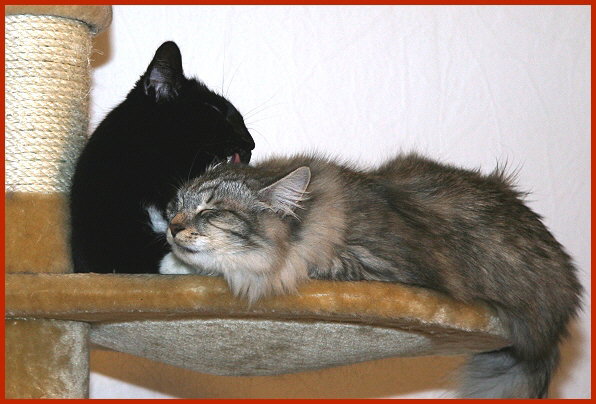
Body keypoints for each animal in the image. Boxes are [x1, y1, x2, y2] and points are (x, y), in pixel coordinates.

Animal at [154, 152, 581, 398]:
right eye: (175, 204)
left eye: (211, 212)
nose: (172, 227)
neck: (324, 216)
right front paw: (171, 262)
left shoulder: (372, 266)